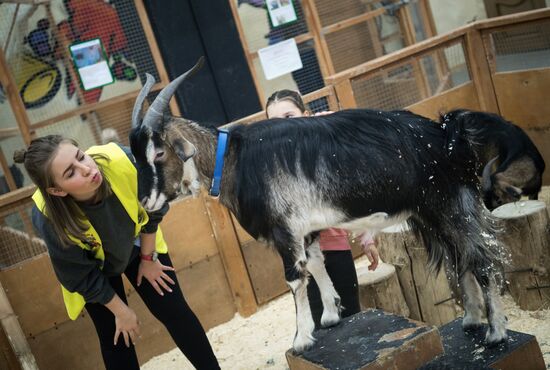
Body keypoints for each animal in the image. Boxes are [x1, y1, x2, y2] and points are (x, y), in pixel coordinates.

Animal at [132, 59, 512, 354]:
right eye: (135, 156)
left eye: (160, 153)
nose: (145, 202)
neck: (235, 158)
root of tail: (449, 135)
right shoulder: (306, 228)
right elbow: (316, 264)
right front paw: (330, 315)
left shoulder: (285, 230)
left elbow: (295, 278)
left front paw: (301, 339)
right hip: (430, 212)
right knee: (458, 257)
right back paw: (471, 320)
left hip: (450, 205)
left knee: (480, 258)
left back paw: (495, 332)